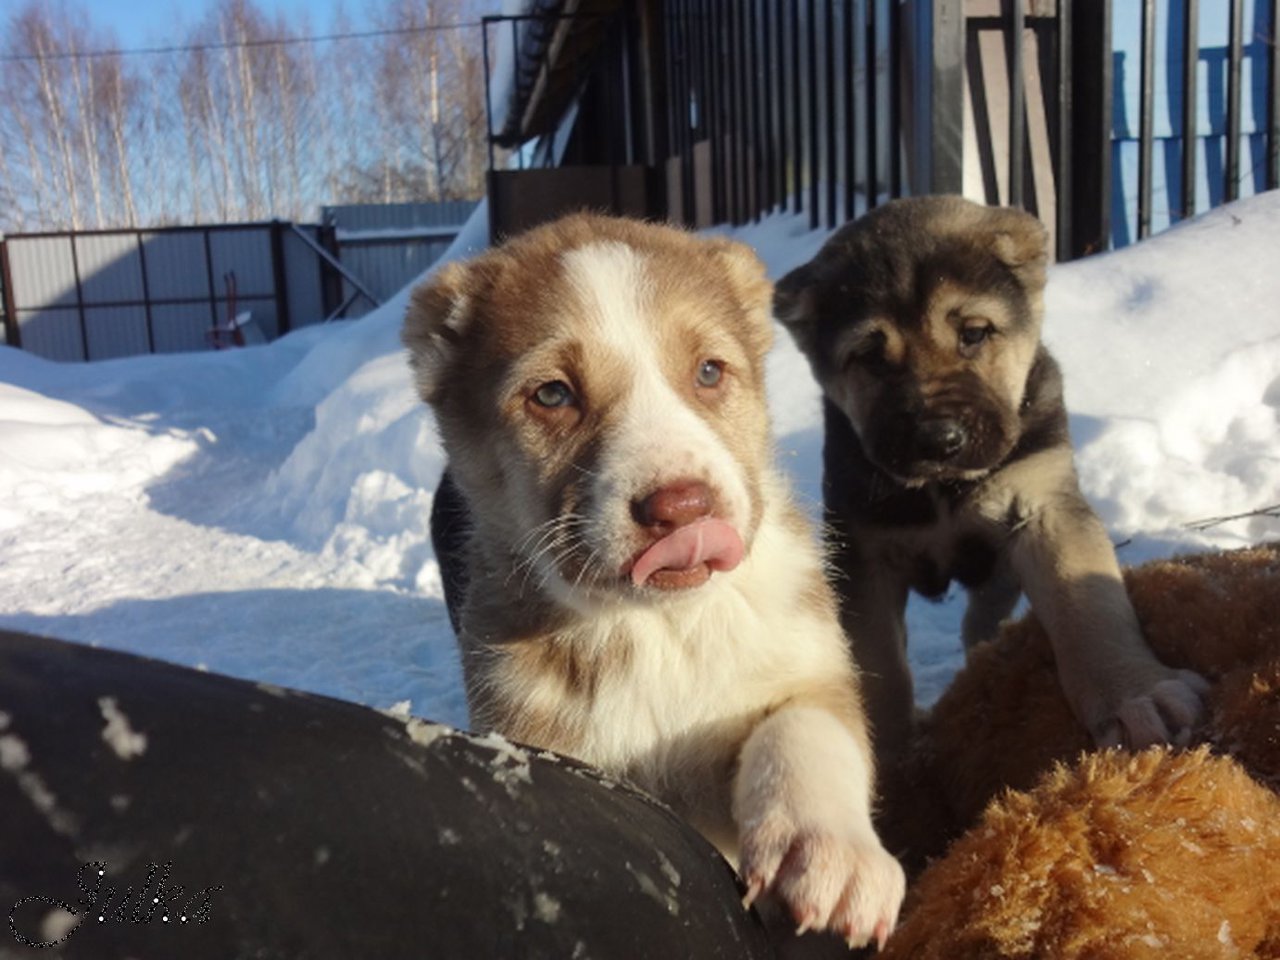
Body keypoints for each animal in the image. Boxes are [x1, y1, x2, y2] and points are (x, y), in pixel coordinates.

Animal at [404, 216, 906, 947]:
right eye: (552, 394)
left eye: (709, 372)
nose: (684, 508)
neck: (659, 628)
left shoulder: (809, 667)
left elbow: (804, 734)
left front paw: (827, 856)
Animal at [773, 197, 1203, 768]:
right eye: (868, 356)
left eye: (973, 333)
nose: (938, 441)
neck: (941, 490)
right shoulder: (864, 552)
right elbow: (878, 662)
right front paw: (886, 754)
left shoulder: (1044, 507)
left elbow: (1089, 606)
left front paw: (1135, 694)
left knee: (984, 620)